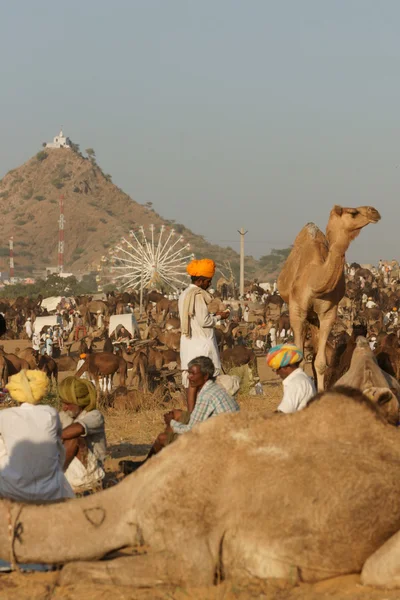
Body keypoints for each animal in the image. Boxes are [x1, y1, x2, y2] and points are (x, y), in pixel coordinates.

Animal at [276, 204, 380, 392]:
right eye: (353, 212)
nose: (374, 211)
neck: (315, 282)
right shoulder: (297, 311)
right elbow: (299, 361)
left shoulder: (328, 313)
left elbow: (321, 362)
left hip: (314, 318)